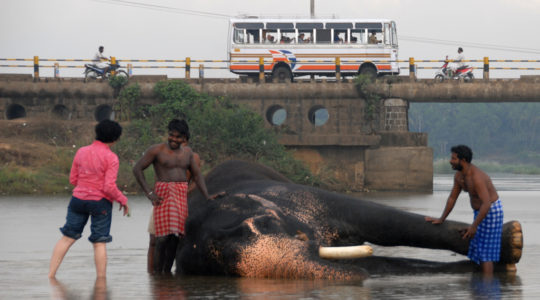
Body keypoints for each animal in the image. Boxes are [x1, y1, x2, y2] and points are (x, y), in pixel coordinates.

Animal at [176, 161, 524, 280]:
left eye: (264, 224)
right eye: (223, 264)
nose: (356, 276)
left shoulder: (302, 197)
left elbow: (377, 219)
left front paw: (513, 239)